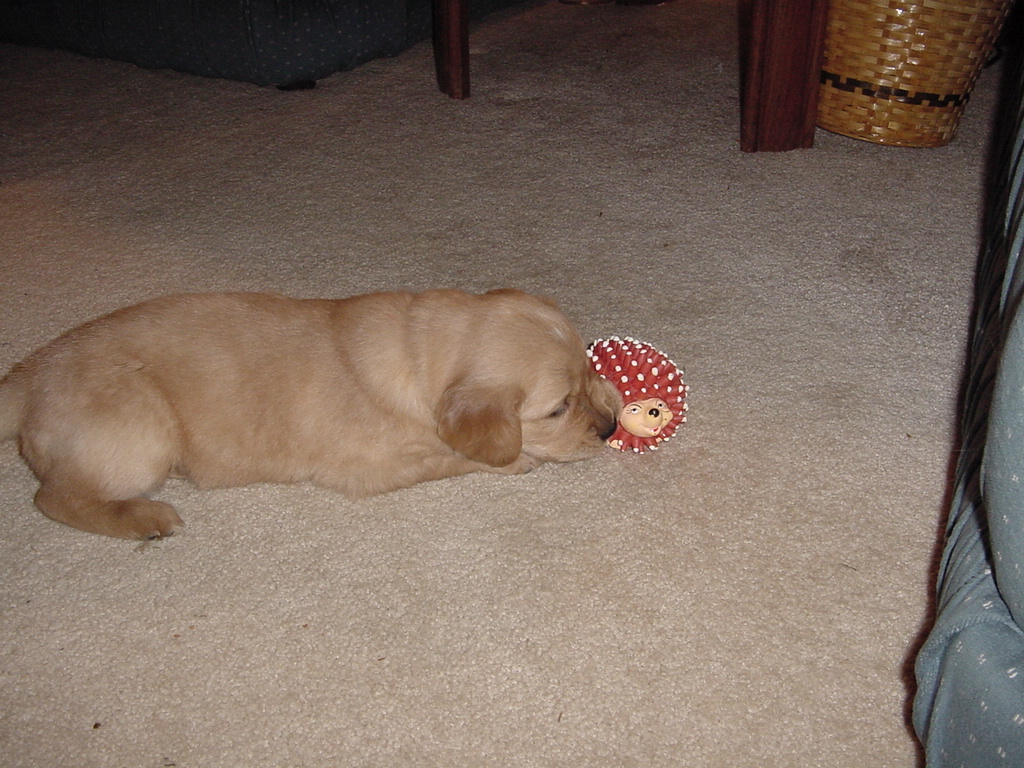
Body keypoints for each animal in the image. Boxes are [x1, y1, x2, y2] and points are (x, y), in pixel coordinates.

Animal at [0, 288, 618, 540]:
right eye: (558, 409)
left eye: (585, 370)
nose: (612, 427)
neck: (418, 356)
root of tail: (28, 375)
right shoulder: (373, 468)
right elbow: (454, 454)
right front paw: (515, 460)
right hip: (142, 431)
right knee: (54, 498)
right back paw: (143, 518)